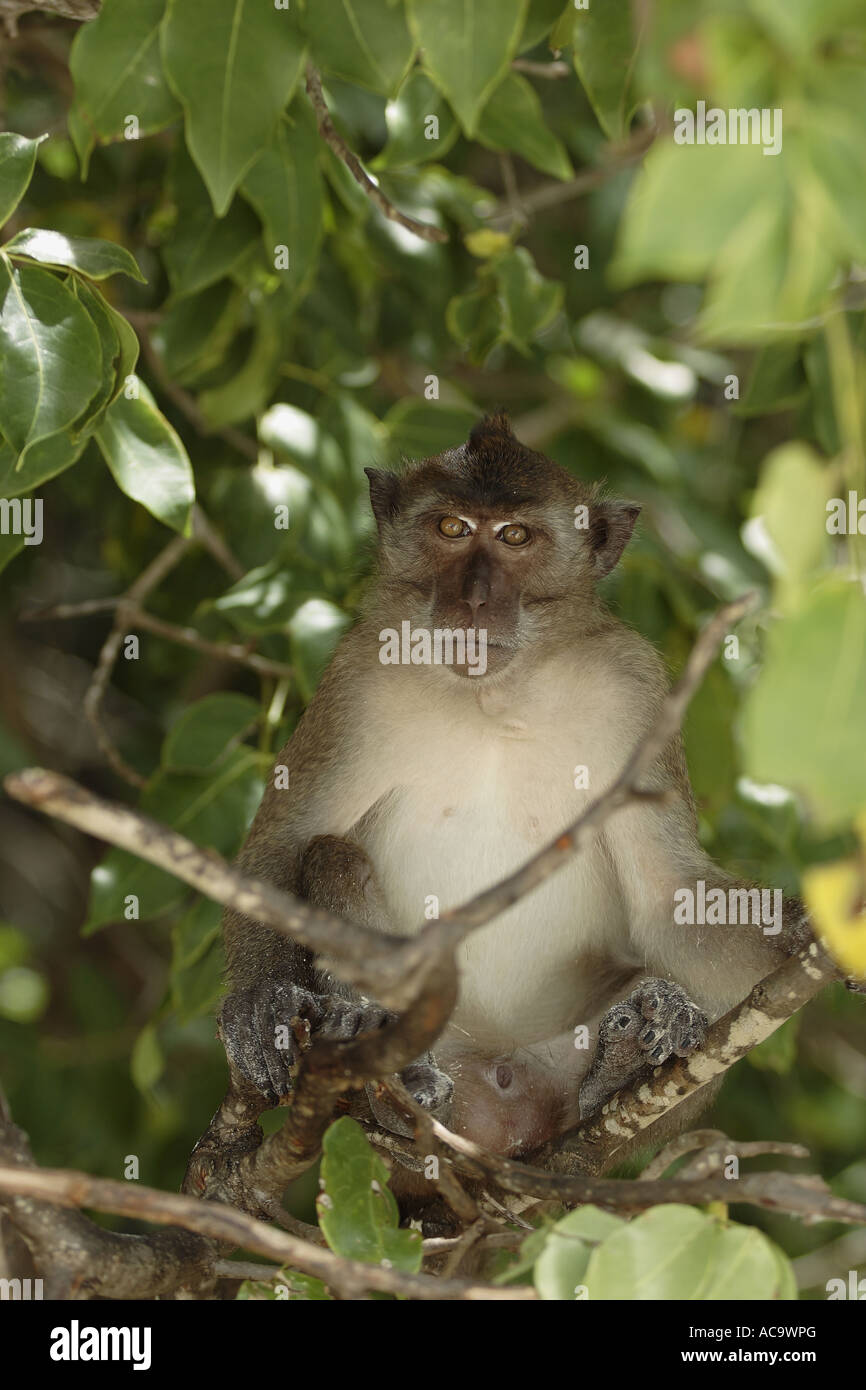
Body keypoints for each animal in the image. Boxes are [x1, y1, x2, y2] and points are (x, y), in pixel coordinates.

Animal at [219, 412, 816, 1169]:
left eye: (515, 537)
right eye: (450, 528)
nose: (475, 599)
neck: (495, 691)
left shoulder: (635, 688)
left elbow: (669, 891)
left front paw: (801, 929)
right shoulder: (358, 676)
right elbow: (285, 840)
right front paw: (260, 1002)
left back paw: (628, 1055)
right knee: (330, 855)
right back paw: (387, 1067)